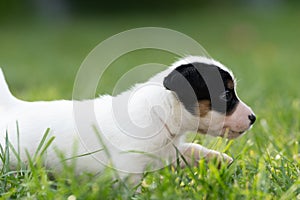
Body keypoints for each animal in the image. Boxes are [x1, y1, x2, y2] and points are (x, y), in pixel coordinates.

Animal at [0, 55, 255, 177]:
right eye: (226, 94)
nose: (253, 117)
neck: (160, 113)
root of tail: (11, 107)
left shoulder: (168, 152)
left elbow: (192, 149)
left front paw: (220, 158)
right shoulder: (128, 166)